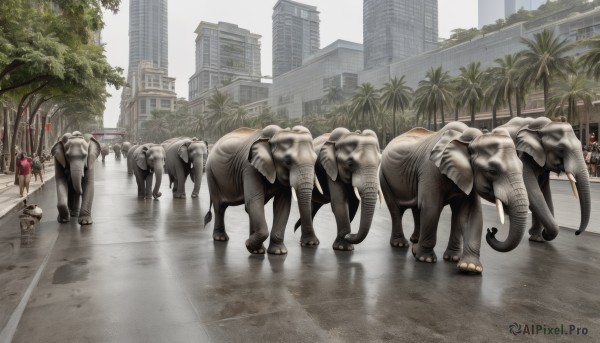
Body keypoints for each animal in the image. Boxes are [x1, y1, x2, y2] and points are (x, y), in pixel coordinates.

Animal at [205, 126, 322, 255]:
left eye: (315, 160)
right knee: (219, 207)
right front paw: (249, 245)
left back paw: (258, 249)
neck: (273, 137)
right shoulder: (249, 167)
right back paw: (221, 238)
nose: (310, 244)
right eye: (287, 161)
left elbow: (282, 205)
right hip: (211, 173)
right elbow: (255, 200)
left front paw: (278, 252)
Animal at [380, 121, 528, 274]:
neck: (468, 139)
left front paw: (467, 266)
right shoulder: (430, 169)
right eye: (493, 171)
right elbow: (431, 208)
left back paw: (415, 244)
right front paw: (425, 259)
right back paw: (400, 244)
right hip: (384, 177)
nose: (492, 230)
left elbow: (469, 213)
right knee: (396, 210)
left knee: (417, 208)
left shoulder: (467, 177)